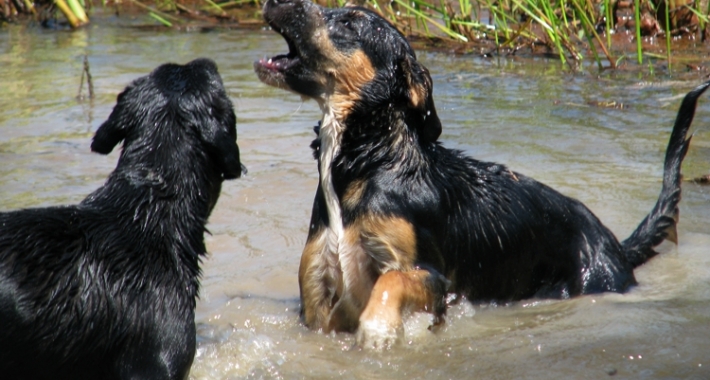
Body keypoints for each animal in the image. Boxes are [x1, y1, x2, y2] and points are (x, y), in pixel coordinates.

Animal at [254, 0, 708, 348]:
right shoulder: (317, 287)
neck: (368, 159)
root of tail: (612, 243)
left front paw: (378, 328)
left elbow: (391, 283)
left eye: (349, 22)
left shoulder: (431, 276)